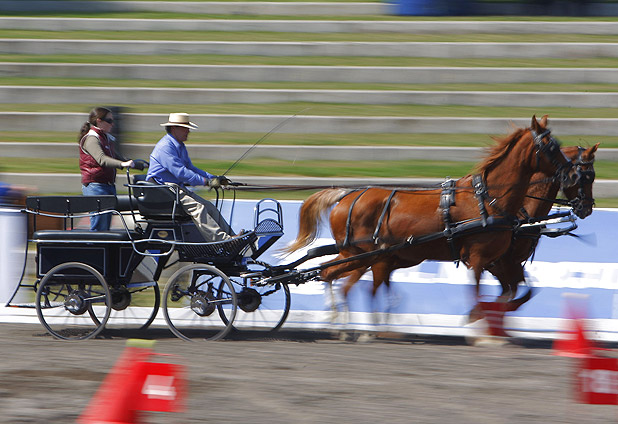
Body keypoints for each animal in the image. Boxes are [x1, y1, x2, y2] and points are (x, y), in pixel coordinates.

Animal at [284, 116, 576, 322]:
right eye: (552, 146)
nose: (571, 174)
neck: (488, 200)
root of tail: (347, 196)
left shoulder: (499, 261)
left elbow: (515, 290)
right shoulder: (480, 259)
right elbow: (480, 293)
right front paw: (478, 323)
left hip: (360, 255)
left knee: (330, 274)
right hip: (360, 254)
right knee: (330, 274)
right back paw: (341, 319)